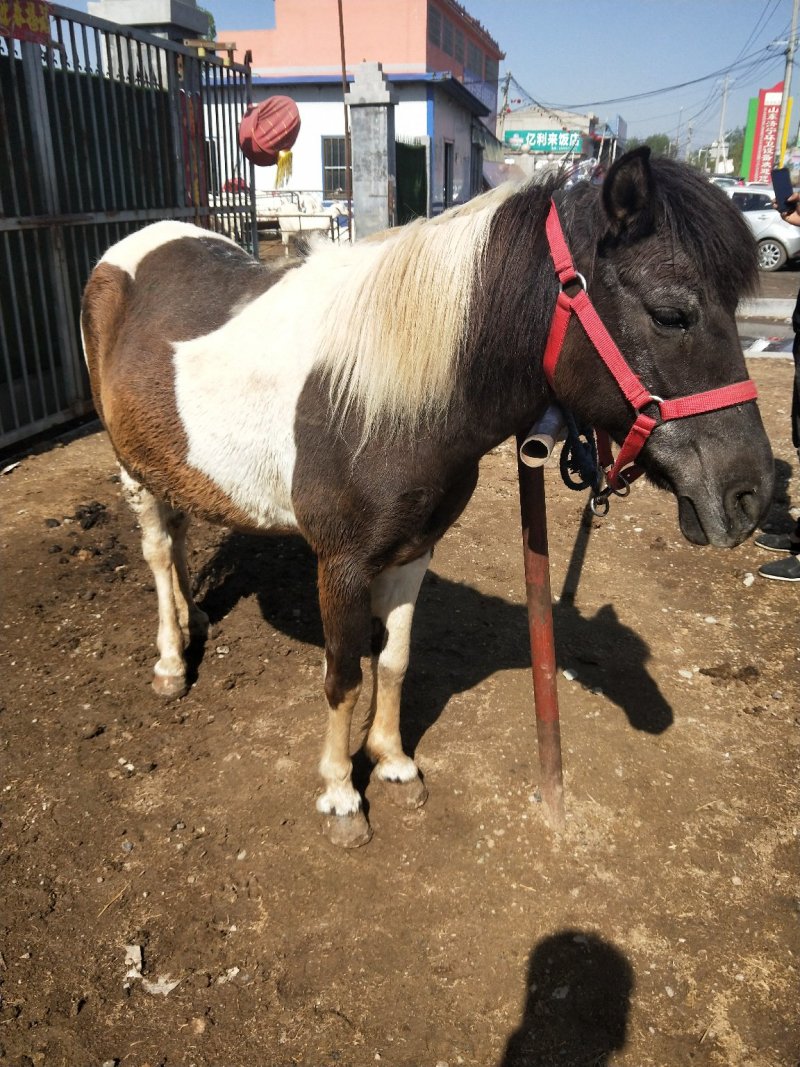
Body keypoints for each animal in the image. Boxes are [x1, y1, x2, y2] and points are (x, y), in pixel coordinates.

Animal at [80, 147, 774, 848]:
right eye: (670, 314)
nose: (750, 495)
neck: (381, 402)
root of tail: (127, 250)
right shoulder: (341, 564)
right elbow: (343, 675)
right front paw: (340, 795)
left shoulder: (415, 550)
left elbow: (394, 659)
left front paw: (392, 763)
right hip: (130, 466)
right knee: (159, 551)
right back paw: (171, 661)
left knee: (181, 533)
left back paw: (195, 620)